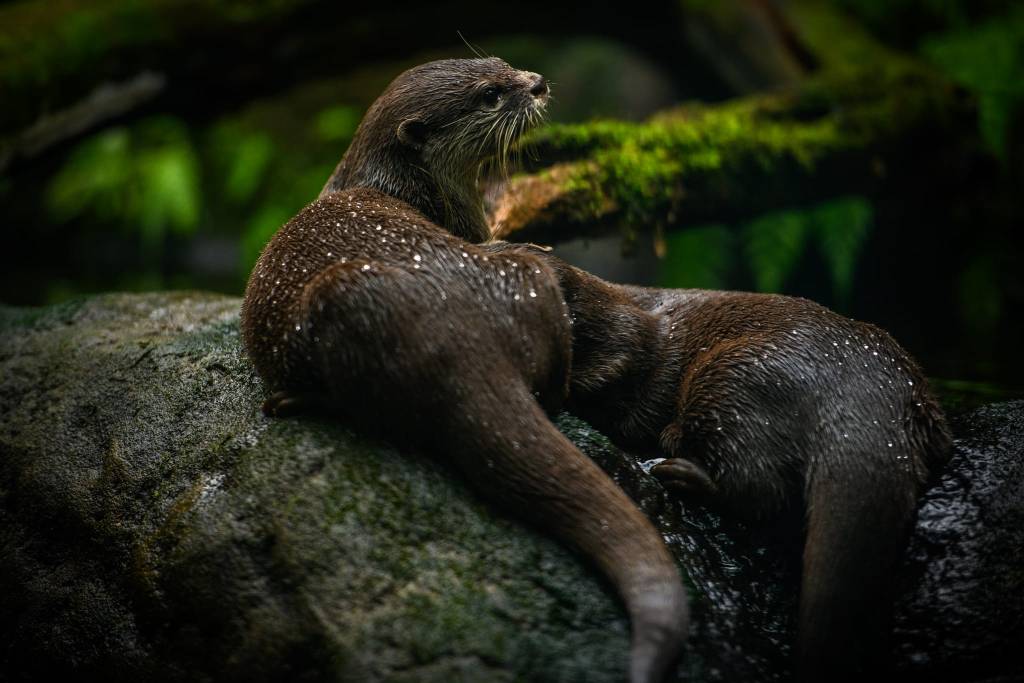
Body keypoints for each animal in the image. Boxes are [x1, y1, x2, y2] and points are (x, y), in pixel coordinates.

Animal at [240, 60, 688, 683]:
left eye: (500, 66)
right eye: (492, 95)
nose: (538, 81)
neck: (401, 189)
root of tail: (463, 340)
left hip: (510, 280)